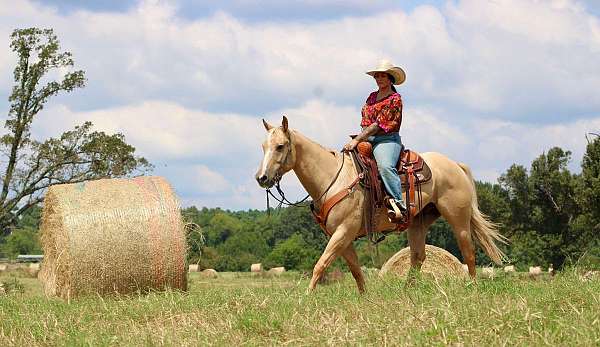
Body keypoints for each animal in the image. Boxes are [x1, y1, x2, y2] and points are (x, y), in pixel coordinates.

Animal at [255, 117, 504, 294]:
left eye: (280, 146)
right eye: (263, 146)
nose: (261, 178)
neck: (333, 179)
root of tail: (455, 165)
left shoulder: (343, 231)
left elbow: (321, 264)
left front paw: (306, 297)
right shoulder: (342, 236)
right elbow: (356, 270)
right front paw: (365, 297)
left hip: (458, 218)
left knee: (468, 252)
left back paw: (472, 288)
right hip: (418, 222)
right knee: (418, 257)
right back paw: (406, 292)